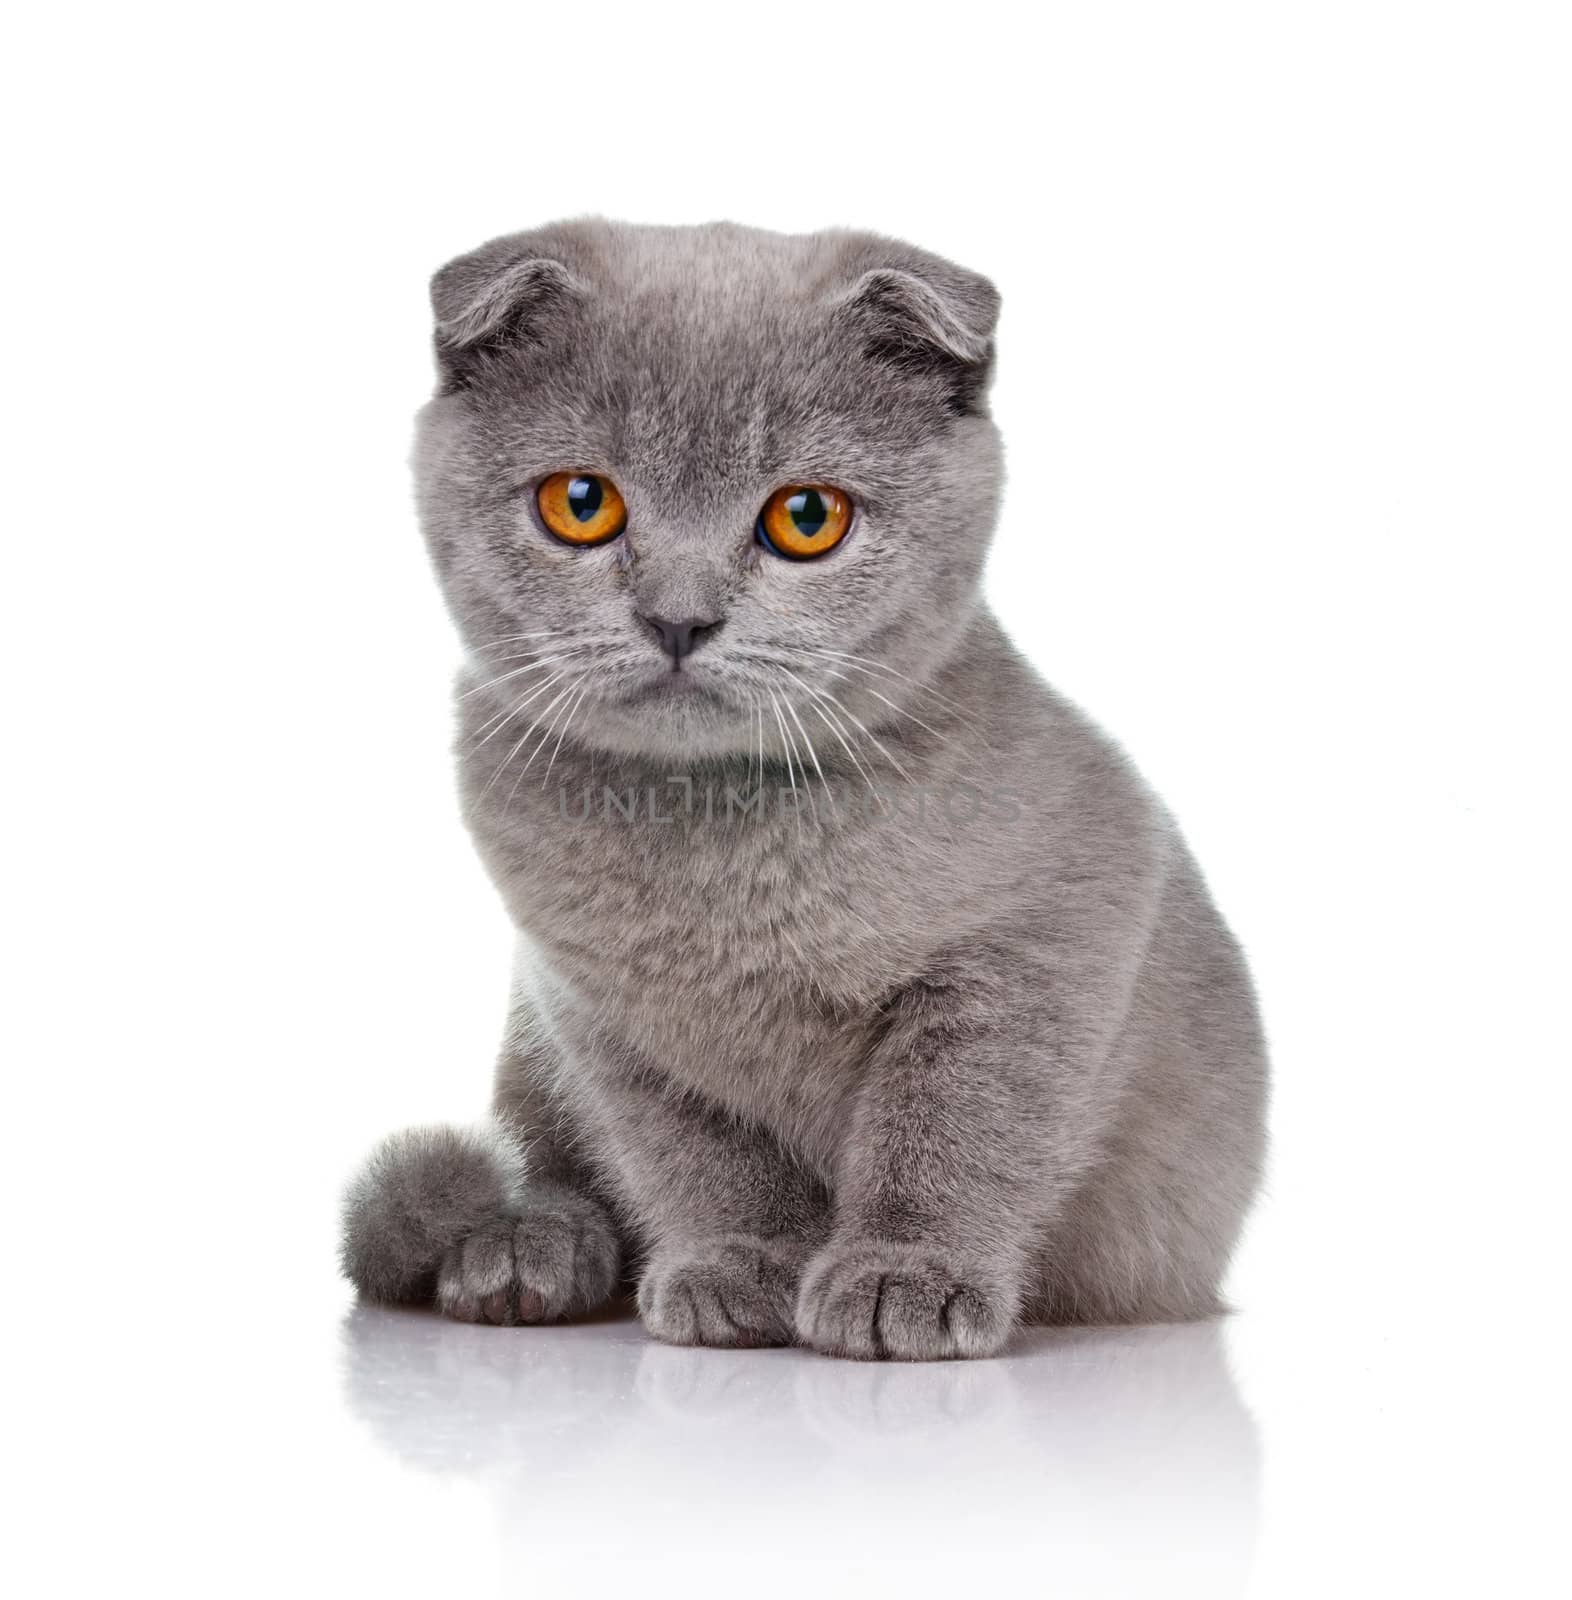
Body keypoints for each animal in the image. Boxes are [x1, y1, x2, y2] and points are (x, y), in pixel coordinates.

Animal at [340, 219, 1267, 1356]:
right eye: (581, 503)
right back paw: (523, 1249)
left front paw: (904, 1275)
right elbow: (697, 1154)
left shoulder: (1049, 936)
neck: (717, 849)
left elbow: (955, 1125)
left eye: (807, 517)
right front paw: (742, 1264)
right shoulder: (600, 1013)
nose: (679, 617)